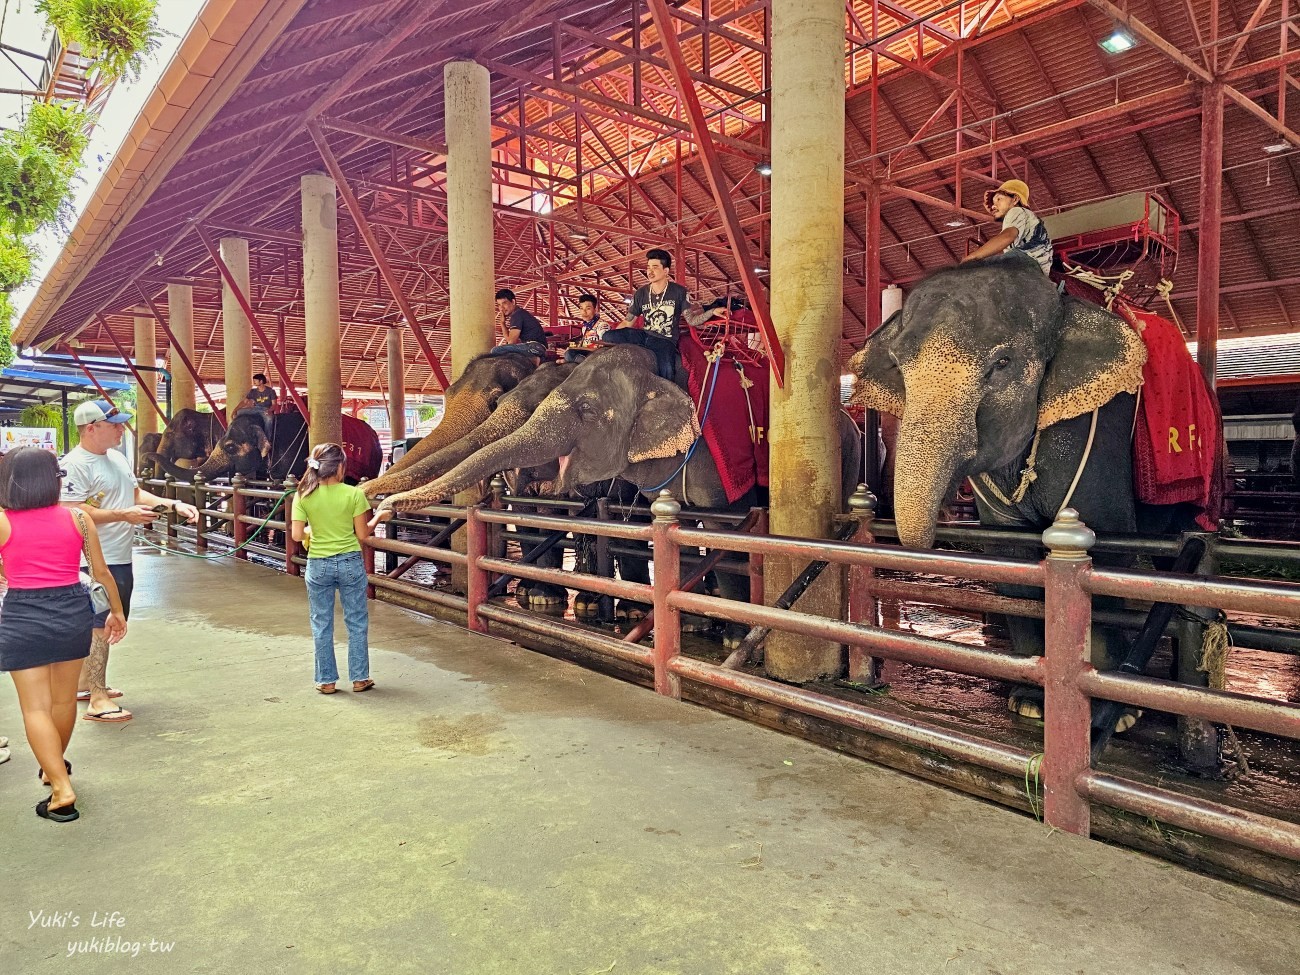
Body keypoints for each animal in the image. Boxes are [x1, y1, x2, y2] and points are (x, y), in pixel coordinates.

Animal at [847, 252, 1201, 728]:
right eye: (899, 367)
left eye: (1003, 363)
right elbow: (1011, 557)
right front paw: (1029, 702)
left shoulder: (1095, 427)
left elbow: (1110, 550)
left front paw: (1114, 718)